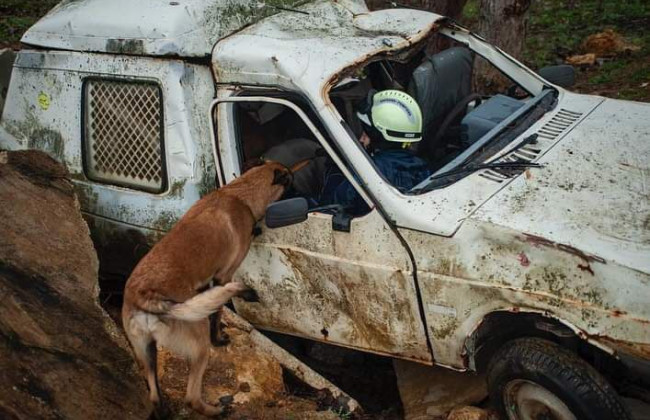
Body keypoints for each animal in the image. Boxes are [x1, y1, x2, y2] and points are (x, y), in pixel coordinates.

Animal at [122, 160, 308, 416]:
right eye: (291, 180)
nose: (306, 194)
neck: (239, 195)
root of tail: (144, 297)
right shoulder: (224, 276)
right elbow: (217, 313)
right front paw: (218, 338)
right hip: (198, 345)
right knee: (191, 396)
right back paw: (217, 410)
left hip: (146, 353)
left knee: (154, 396)